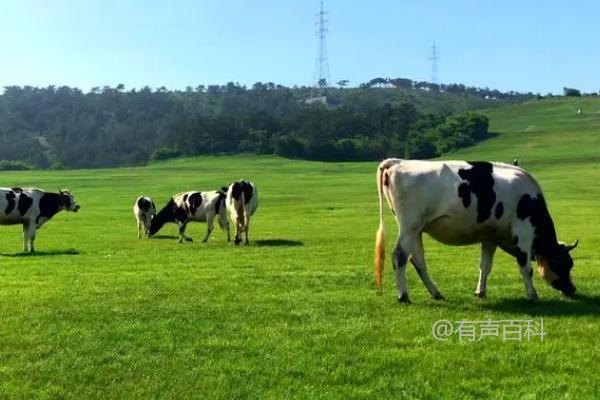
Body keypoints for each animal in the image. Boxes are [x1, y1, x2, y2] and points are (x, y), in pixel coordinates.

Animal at [376, 158, 576, 302]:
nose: (572, 289)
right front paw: (533, 295)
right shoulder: (524, 233)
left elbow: (485, 266)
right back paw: (403, 295)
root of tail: (397, 161)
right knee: (400, 255)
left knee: (418, 260)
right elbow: (526, 268)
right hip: (409, 226)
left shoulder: (490, 237)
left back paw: (436, 293)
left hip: (416, 229)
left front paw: (480, 291)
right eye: (562, 264)